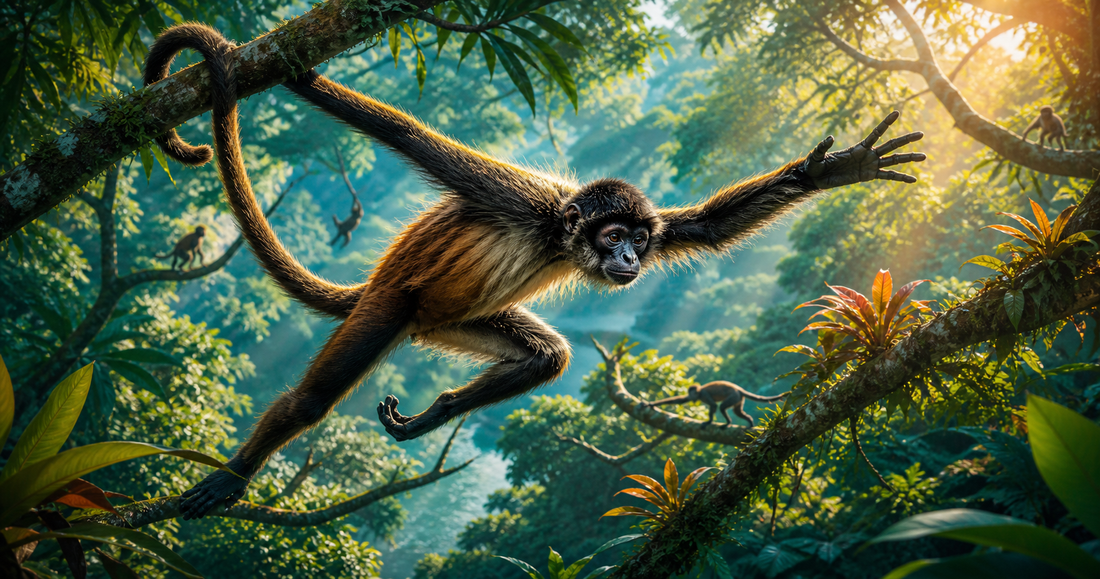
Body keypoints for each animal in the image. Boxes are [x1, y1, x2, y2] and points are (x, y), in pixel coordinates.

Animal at [640, 381, 786, 427]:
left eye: (692, 393)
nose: (691, 396)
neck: (699, 393)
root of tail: (738, 389)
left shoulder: (704, 394)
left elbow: (714, 406)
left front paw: (709, 422)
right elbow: (679, 400)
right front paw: (650, 404)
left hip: (734, 396)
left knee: (722, 407)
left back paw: (728, 423)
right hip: (739, 399)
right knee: (737, 411)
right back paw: (749, 422)